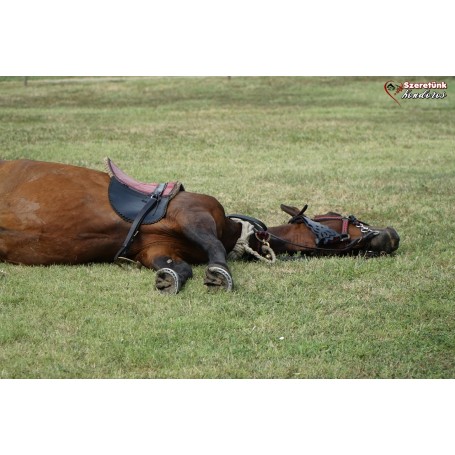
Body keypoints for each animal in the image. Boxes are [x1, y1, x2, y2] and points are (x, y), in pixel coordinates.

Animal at [0, 160, 400, 296]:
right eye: (345, 217)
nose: (393, 236)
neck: (237, 232)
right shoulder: (194, 214)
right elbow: (215, 251)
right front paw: (221, 274)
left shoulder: (154, 250)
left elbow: (178, 267)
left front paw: (170, 279)